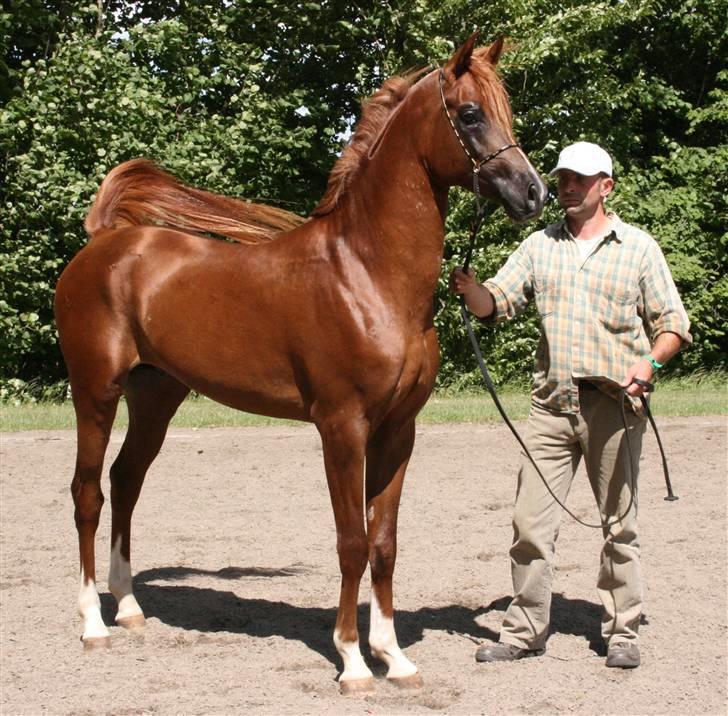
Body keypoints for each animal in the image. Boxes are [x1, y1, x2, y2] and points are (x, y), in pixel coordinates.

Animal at [55, 35, 544, 692]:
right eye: (469, 114)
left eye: (505, 110)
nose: (532, 191)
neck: (367, 274)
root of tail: (105, 241)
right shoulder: (342, 428)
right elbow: (351, 542)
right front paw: (354, 661)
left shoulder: (398, 431)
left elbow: (384, 544)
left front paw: (395, 657)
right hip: (96, 393)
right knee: (88, 492)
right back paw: (93, 623)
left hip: (155, 397)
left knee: (125, 481)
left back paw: (129, 608)